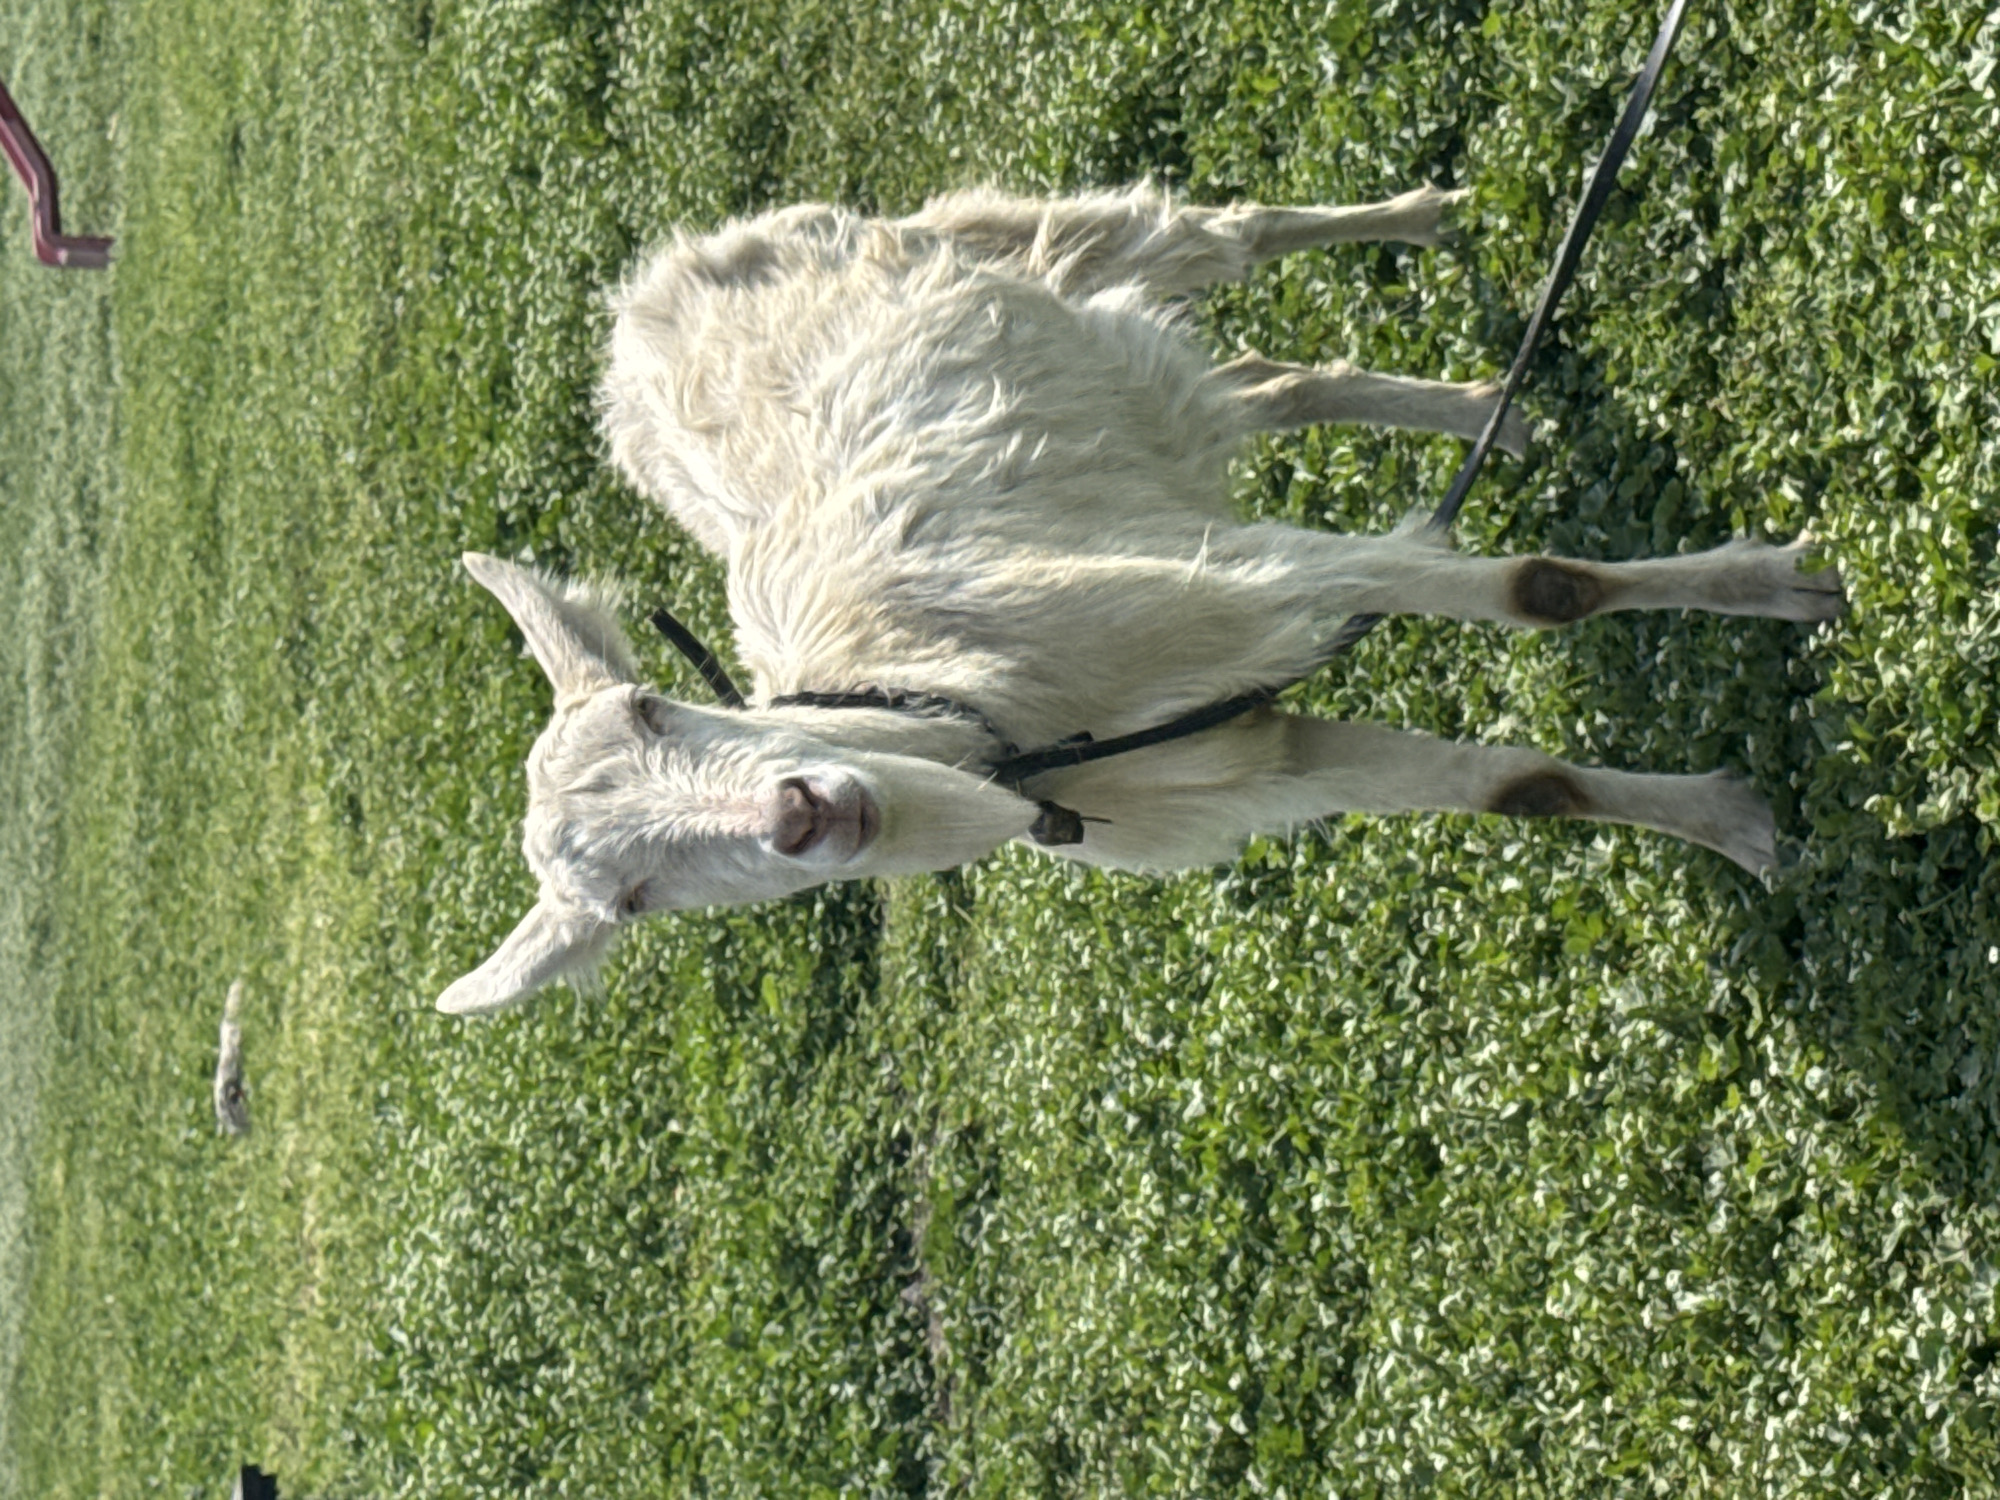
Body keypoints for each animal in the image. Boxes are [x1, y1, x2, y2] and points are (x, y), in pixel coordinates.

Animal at [438, 183, 1844, 1016]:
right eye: (632, 902)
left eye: (660, 707)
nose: (799, 813)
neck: (988, 722)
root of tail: (632, 306)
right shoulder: (1252, 752)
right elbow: (1519, 790)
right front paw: (1736, 824)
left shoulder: (1267, 579)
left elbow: (1541, 592)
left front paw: (1791, 581)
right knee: (1258, 380)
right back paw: (1478, 414)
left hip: (1003, 236)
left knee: (1216, 232)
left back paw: (1426, 221)